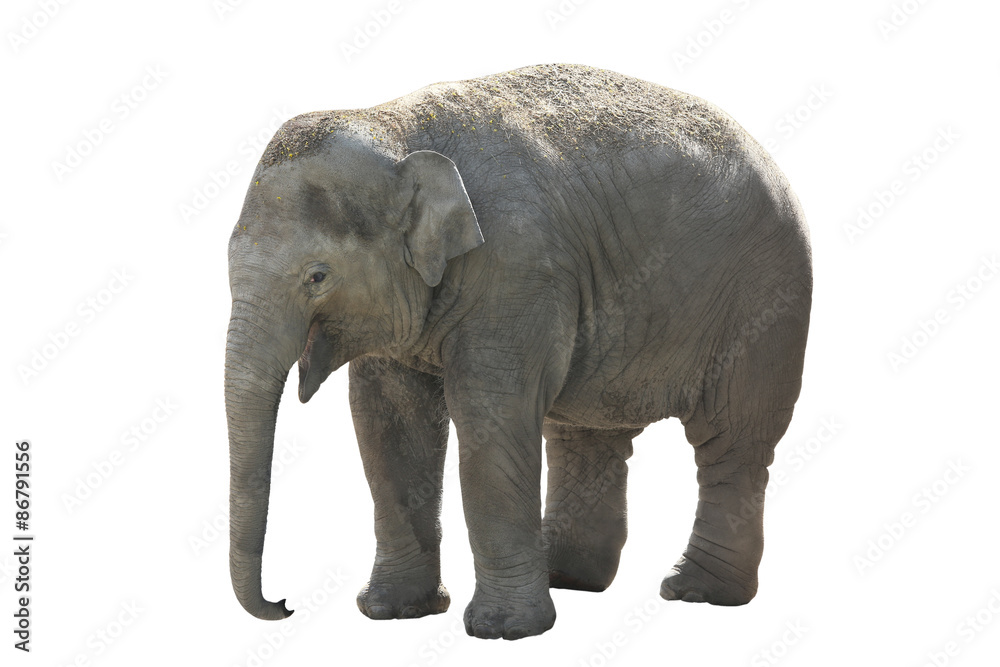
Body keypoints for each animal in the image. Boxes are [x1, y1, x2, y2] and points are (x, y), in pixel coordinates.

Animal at [225, 64, 812, 640]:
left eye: (317, 277)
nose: (285, 604)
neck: (396, 127)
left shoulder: (518, 268)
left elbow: (491, 414)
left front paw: (503, 630)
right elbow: (389, 422)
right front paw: (391, 613)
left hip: (764, 301)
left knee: (731, 439)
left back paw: (696, 592)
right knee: (584, 432)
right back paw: (567, 576)